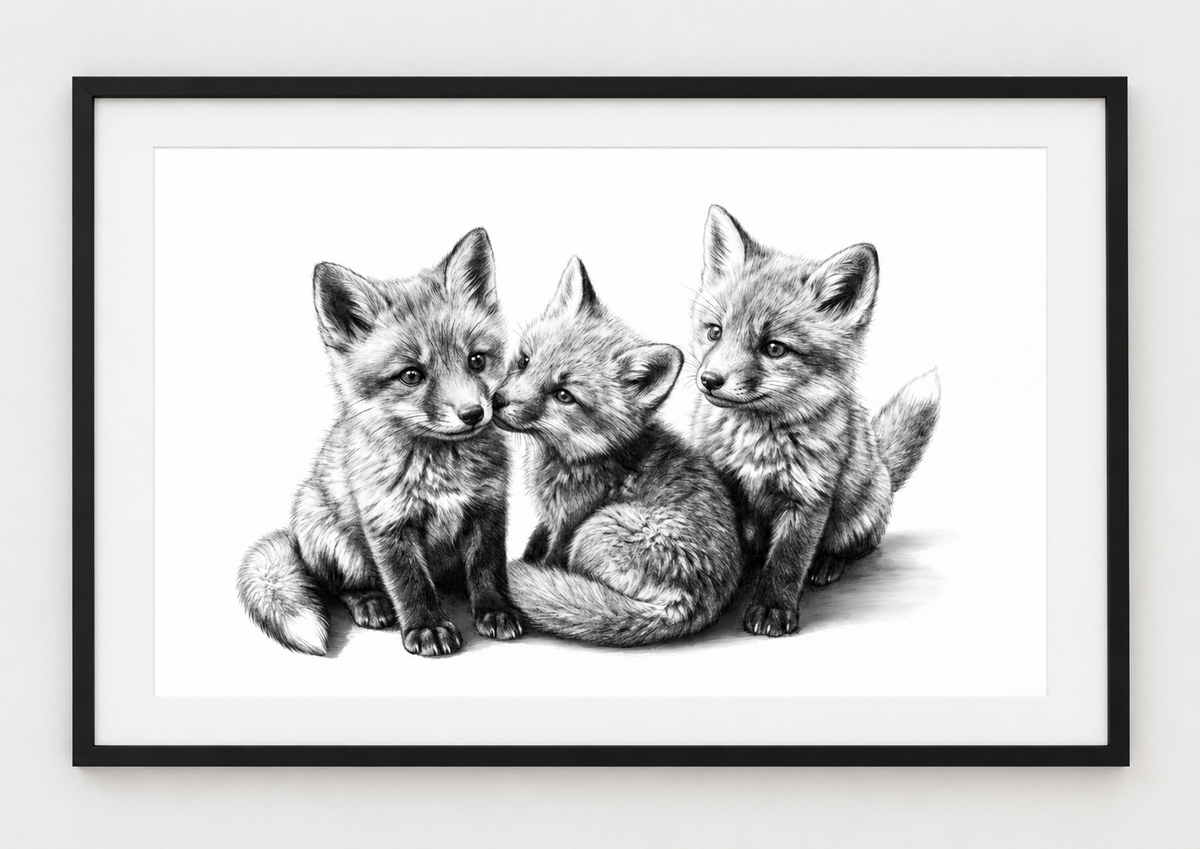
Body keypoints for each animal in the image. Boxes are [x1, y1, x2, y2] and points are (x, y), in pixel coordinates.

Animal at [236, 228, 522, 658]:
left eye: (476, 360)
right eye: (411, 375)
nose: (473, 413)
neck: (441, 470)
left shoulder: (487, 509)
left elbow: (487, 570)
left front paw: (495, 611)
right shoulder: (388, 523)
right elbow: (411, 583)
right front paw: (427, 627)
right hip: (333, 539)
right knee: (343, 587)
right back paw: (370, 602)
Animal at [495, 257, 743, 647]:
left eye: (564, 395)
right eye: (524, 361)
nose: (496, 402)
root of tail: (692, 602)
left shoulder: (570, 522)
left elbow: (550, 557)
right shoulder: (551, 519)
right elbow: (538, 539)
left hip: (595, 530)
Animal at [689, 205, 941, 637]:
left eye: (774, 348)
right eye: (715, 332)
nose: (710, 380)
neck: (757, 443)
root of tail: (885, 469)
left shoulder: (808, 498)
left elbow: (787, 561)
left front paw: (773, 608)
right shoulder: (726, 486)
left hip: (858, 513)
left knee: (856, 545)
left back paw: (827, 564)